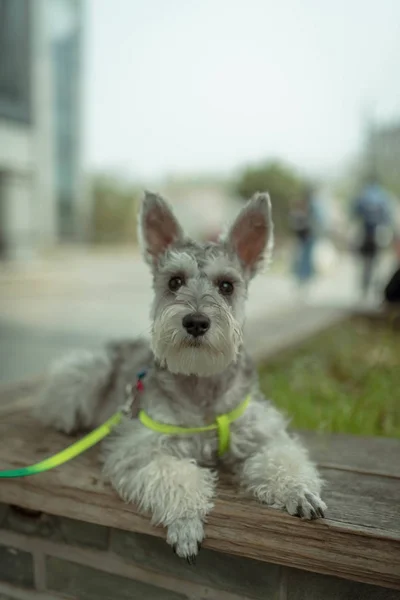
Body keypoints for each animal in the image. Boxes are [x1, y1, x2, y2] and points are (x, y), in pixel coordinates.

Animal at [34, 193, 326, 564]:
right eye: (175, 281)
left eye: (226, 285)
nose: (196, 322)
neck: (201, 382)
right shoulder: (143, 450)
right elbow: (176, 476)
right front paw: (186, 522)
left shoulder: (265, 435)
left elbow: (282, 459)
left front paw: (299, 491)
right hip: (86, 375)